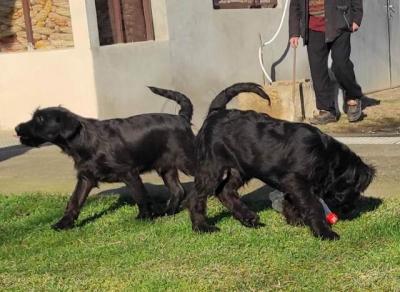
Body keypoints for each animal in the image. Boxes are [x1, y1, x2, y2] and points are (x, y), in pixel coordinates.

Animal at [15, 86, 195, 230]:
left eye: (40, 119)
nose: (17, 128)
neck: (83, 139)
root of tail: (182, 118)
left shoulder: (129, 173)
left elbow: (140, 195)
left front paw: (144, 217)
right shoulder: (86, 177)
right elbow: (75, 200)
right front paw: (64, 223)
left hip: (186, 160)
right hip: (166, 167)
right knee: (177, 190)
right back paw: (167, 212)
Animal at [188, 82, 376, 240]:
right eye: (355, 189)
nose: (352, 210)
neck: (326, 156)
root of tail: (215, 112)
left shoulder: (292, 183)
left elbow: (291, 200)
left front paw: (294, 220)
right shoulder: (297, 181)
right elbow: (312, 205)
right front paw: (324, 232)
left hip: (240, 169)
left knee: (225, 191)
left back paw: (249, 218)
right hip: (211, 168)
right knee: (197, 197)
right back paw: (202, 226)